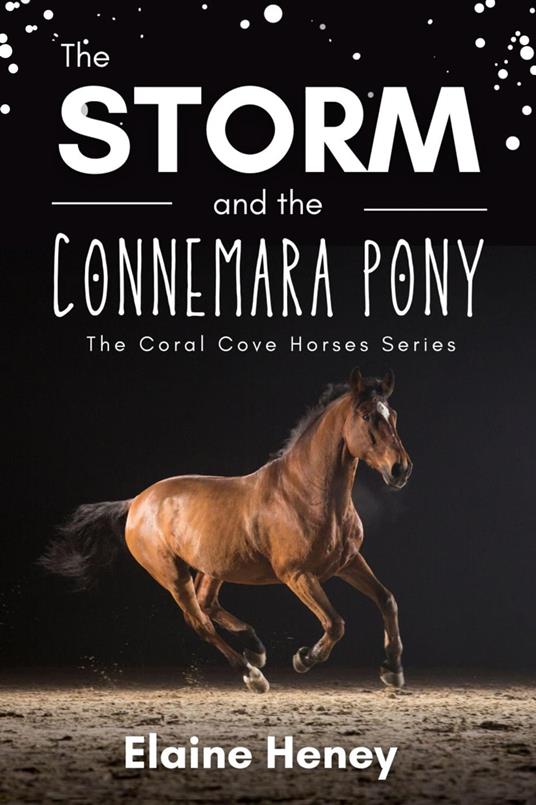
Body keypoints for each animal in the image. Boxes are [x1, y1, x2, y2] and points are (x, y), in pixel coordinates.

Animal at [42, 368, 413, 693]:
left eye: (392, 415)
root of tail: (137, 502)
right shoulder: (297, 574)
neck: (306, 493)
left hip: (213, 566)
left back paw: (255, 647)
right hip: (172, 574)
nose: (400, 469)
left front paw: (392, 670)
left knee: (207, 602)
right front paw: (305, 658)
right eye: (366, 416)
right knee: (199, 621)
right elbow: (335, 624)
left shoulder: (347, 563)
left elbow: (388, 600)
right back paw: (252, 674)